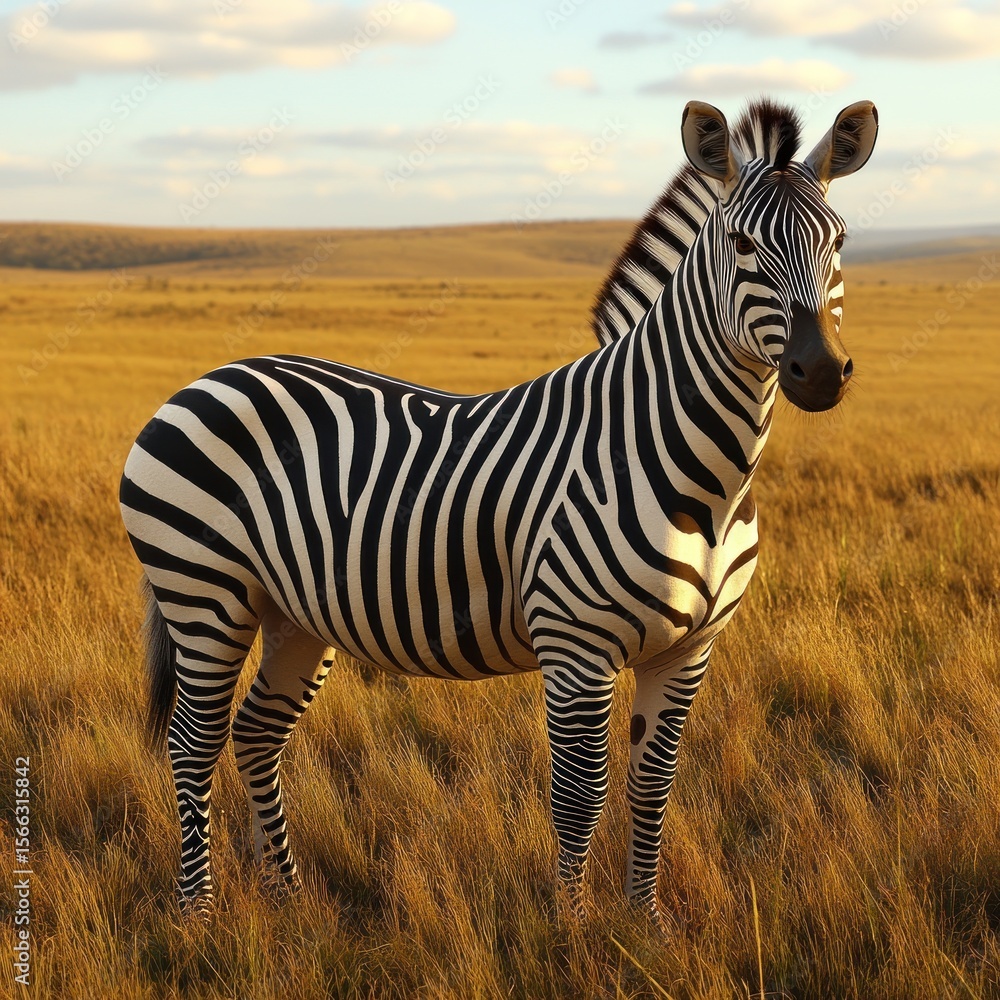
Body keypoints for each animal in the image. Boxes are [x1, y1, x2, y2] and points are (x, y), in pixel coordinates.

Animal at [119, 97, 878, 920]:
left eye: (839, 241)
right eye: (742, 244)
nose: (821, 372)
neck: (696, 475)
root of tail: (207, 377)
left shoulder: (688, 649)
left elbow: (653, 789)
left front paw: (645, 922)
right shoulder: (576, 647)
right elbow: (581, 795)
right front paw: (572, 929)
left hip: (293, 610)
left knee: (258, 733)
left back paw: (288, 897)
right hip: (204, 594)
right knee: (193, 743)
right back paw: (199, 913)